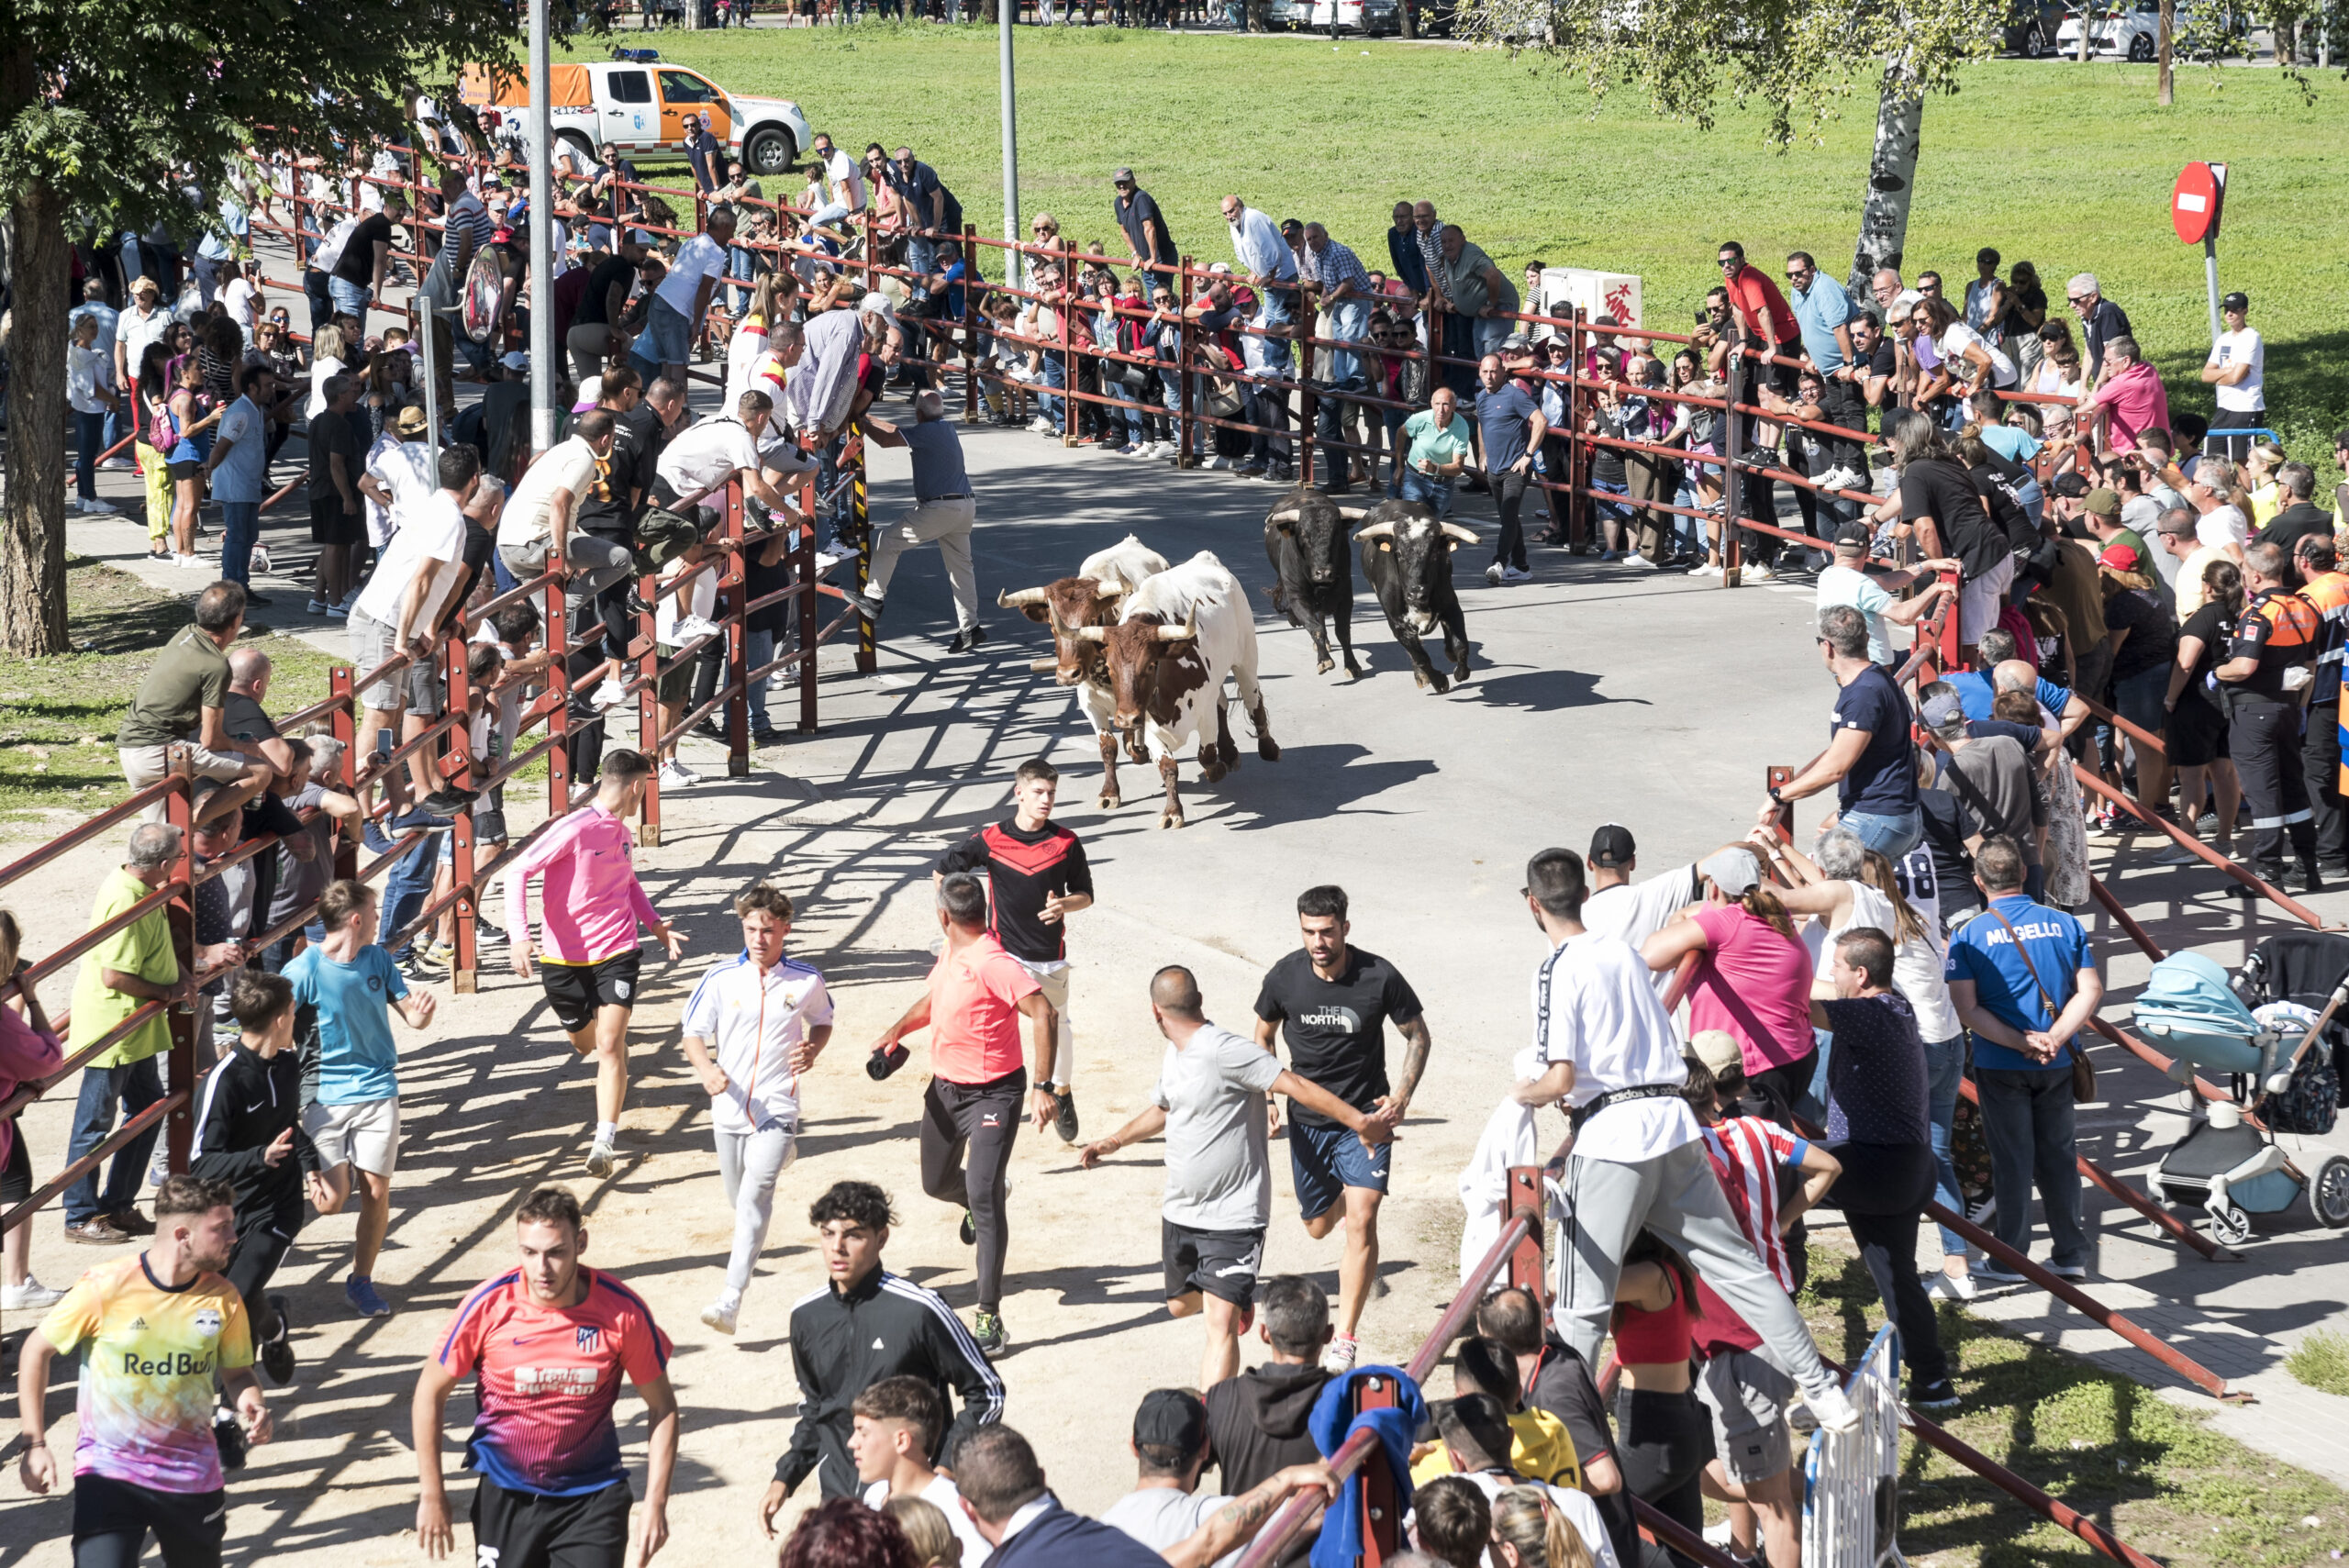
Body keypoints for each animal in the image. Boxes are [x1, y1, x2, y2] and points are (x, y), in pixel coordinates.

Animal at [996, 535, 1169, 807]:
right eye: (1052, 625)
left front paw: (1137, 750)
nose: (1067, 675)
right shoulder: (1089, 703)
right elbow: (1107, 746)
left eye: (1090, 621)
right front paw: (1109, 793)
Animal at [1071, 549, 1277, 826]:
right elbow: (1167, 766)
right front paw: (1172, 811)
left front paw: (1215, 770)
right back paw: (1230, 753)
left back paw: (1268, 749)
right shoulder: (1146, 724)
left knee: (1254, 703)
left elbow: (1206, 755)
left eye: (1151, 665)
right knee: (1225, 702)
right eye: (1110, 668)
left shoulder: (1204, 710)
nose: (1125, 719)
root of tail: (1206, 557)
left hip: (1246, 659)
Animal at [1362, 505, 1465, 695]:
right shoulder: (1398, 625)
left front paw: (1461, 673)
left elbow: (1460, 645)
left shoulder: (1452, 607)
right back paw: (1422, 676)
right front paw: (1439, 682)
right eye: (1399, 553)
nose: (1417, 593)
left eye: (1434, 553)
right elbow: (1420, 656)